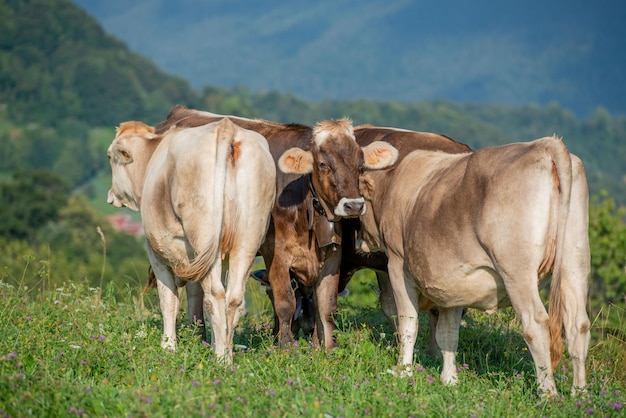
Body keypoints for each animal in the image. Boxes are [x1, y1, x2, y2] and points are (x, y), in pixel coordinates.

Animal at [107, 117, 276, 362]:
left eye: (110, 157)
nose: (110, 196)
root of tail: (227, 127)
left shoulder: (158, 253)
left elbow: (169, 300)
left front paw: (168, 346)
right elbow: (197, 299)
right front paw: (205, 340)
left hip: (203, 235)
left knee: (215, 295)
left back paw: (220, 359)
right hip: (246, 241)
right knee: (232, 297)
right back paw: (227, 354)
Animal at [152, 105, 394, 350]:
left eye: (361, 165)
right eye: (323, 164)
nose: (353, 205)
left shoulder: (333, 254)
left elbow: (326, 304)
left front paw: (323, 348)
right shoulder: (275, 253)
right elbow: (285, 301)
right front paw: (285, 347)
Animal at [354, 123, 588, 396]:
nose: (359, 242)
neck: (394, 184)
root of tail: (545, 145)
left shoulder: (397, 265)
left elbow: (408, 322)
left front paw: (404, 372)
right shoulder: (451, 282)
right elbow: (448, 333)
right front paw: (449, 380)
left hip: (517, 271)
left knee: (536, 324)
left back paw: (547, 394)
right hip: (575, 260)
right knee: (578, 325)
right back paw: (579, 394)